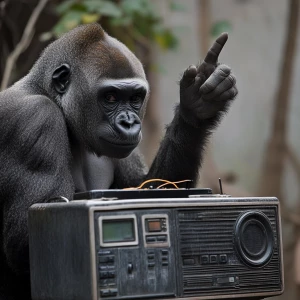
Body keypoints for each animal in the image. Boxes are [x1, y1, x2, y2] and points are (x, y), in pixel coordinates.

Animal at [0, 24, 237, 300]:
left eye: (135, 98)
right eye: (110, 97)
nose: (129, 123)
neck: (43, 90)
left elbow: (147, 185)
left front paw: (197, 107)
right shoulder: (35, 118)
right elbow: (22, 243)